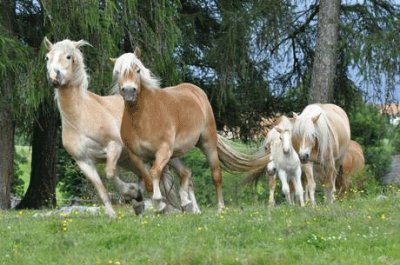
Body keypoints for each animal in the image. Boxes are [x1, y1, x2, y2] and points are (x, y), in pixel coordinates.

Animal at [43, 38, 200, 217]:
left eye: (68, 56)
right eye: (47, 57)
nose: (54, 76)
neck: (81, 118)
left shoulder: (114, 147)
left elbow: (110, 173)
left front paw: (132, 192)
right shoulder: (84, 162)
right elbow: (101, 190)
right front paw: (113, 214)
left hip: (165, 154)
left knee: (183, 175)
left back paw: (193, 208)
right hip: (133, 160)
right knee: (167, 176)